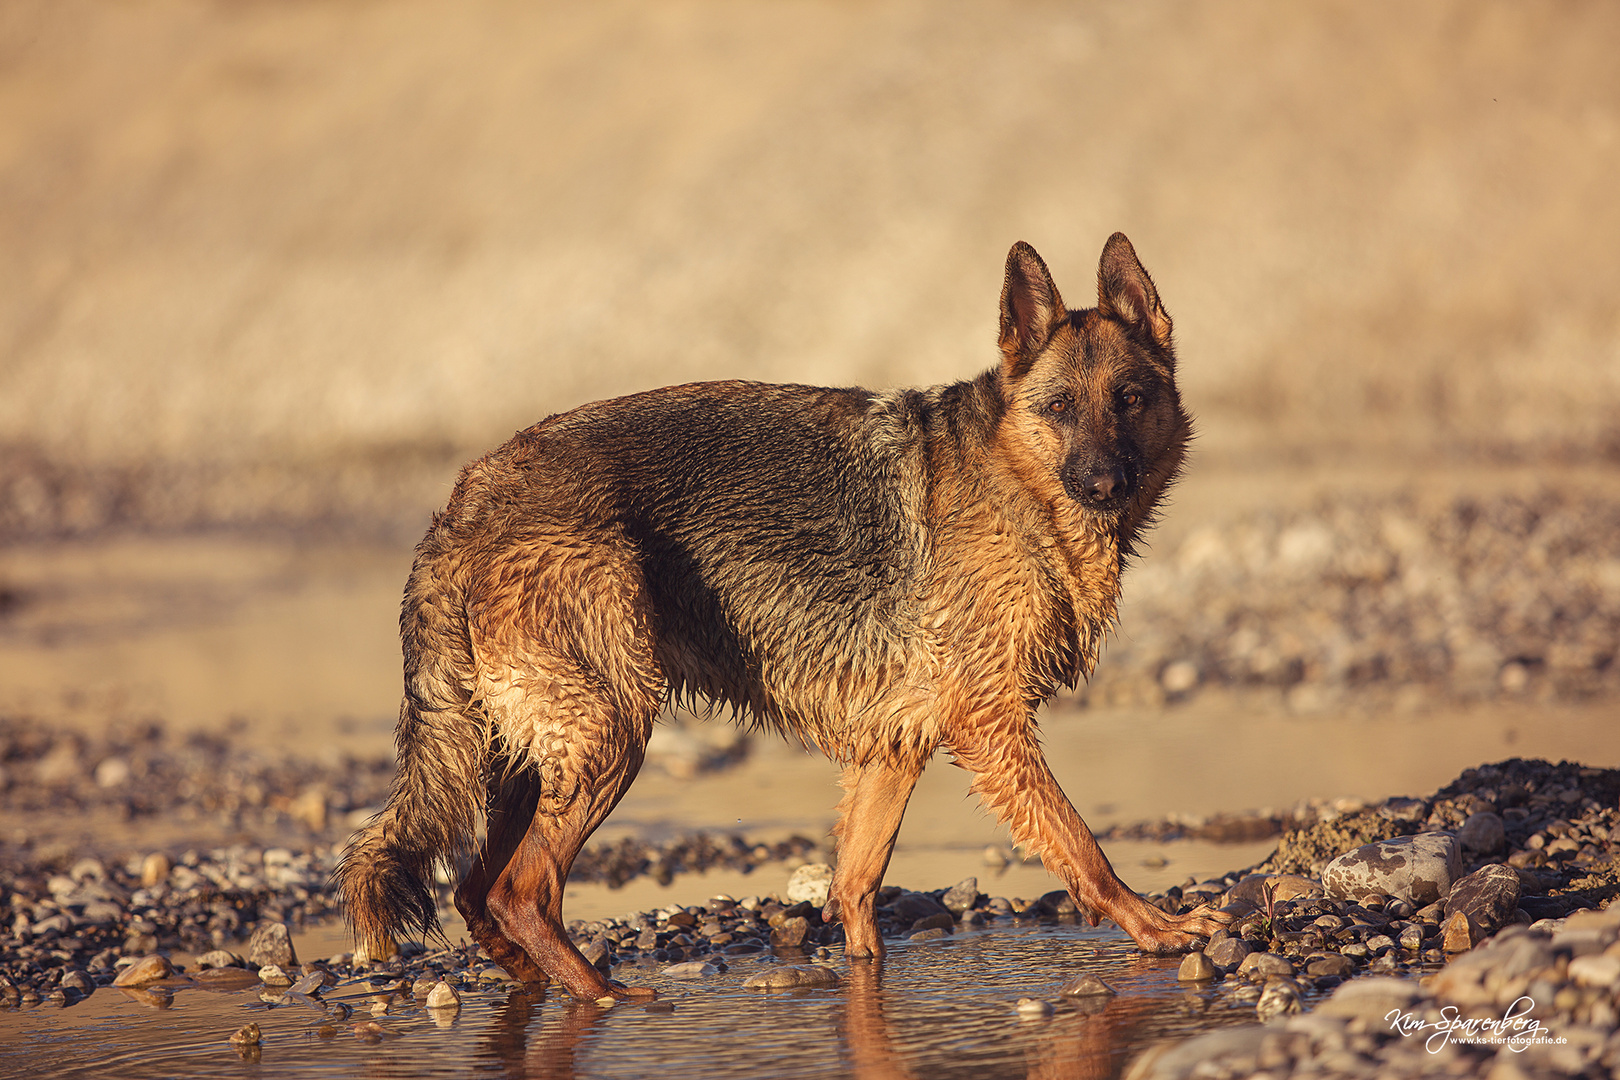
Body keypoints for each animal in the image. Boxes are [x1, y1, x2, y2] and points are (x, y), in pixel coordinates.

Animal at [341, 234, 1224, 997]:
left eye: (1130, 399)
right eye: (1061, 407)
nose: (1105, 483)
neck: (1020, 483)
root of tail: (466, 503)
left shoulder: (893, 746)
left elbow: (857, 885)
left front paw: (866, 982)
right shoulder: (993, 724)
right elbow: (1079, 843)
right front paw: (1156, 927)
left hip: (529, 754)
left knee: (476, 891)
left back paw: (537, 982)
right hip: (611, 731)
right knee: (523, 889)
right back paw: (603, 996)